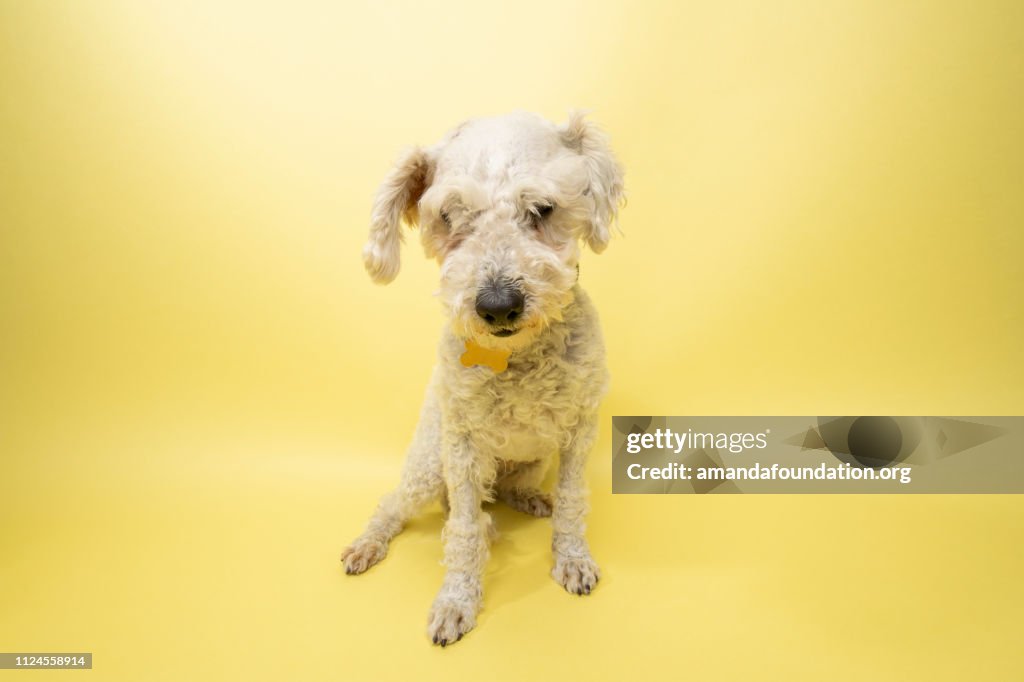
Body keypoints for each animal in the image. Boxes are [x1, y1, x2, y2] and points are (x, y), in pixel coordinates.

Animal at [342, 110, 622, 643]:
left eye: (543, 208)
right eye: (449, 217)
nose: (497, 305)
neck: (516, 358)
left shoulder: (579, 433)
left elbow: (573, 501)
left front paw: (572, 559)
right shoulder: (464, 450)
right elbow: (466, 531)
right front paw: (457, 602)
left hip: (534, 459)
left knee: (510, 490)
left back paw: (532, 499)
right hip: (430, 468)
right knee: (394, 504)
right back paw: (368, 544)